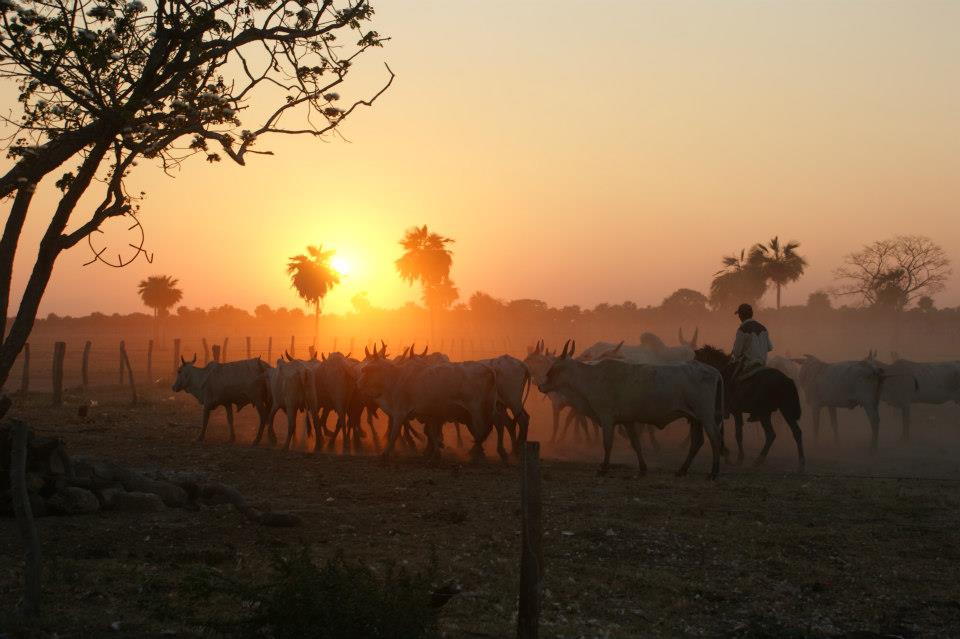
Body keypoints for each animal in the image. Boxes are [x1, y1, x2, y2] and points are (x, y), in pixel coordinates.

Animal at [692, 344, 808, 476]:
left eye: (697, 359)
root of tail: (787, 379)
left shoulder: (733, 411)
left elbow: (737, 434)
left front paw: (737, 458)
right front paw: (728, 454)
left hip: (768, 412)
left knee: (773, 434)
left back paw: (760, 460)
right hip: (780, 410)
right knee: (792, 432)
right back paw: (799, 464)